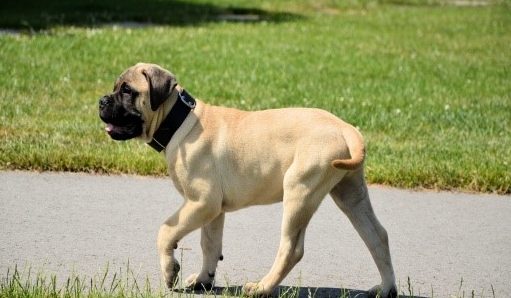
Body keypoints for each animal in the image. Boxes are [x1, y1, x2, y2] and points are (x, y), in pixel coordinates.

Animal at [98, 63, 398, 298]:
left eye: (127, 91)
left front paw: (170, 270)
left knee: (292, 249)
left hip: (299, 190)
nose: (101, 101)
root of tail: (346, 128)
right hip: (350, 192)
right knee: (377, 236)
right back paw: (386, 289)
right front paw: (204, 280)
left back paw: (262, 288)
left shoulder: (202, 202)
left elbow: (166, 231)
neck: (180, 122)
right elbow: (210, 244)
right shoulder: (212, 209)